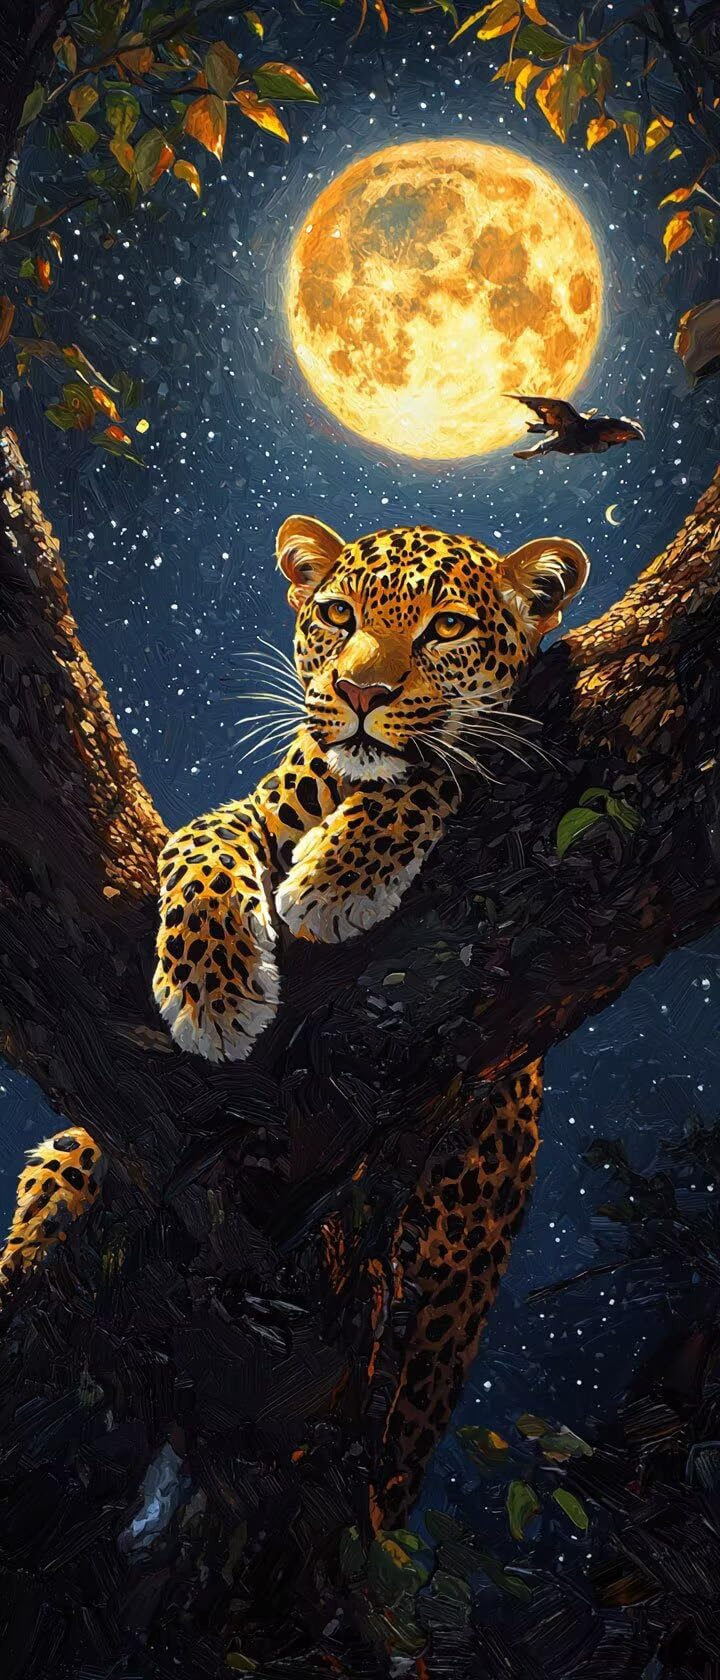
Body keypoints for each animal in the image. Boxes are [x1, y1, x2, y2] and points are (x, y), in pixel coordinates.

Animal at [0, 515, 588, 1525]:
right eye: (338, 615)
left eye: (446, 627)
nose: (358, 693)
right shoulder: (247, 809)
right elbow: (200, 843)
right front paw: (215, 994)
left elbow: (439, 764)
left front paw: (338, 879)